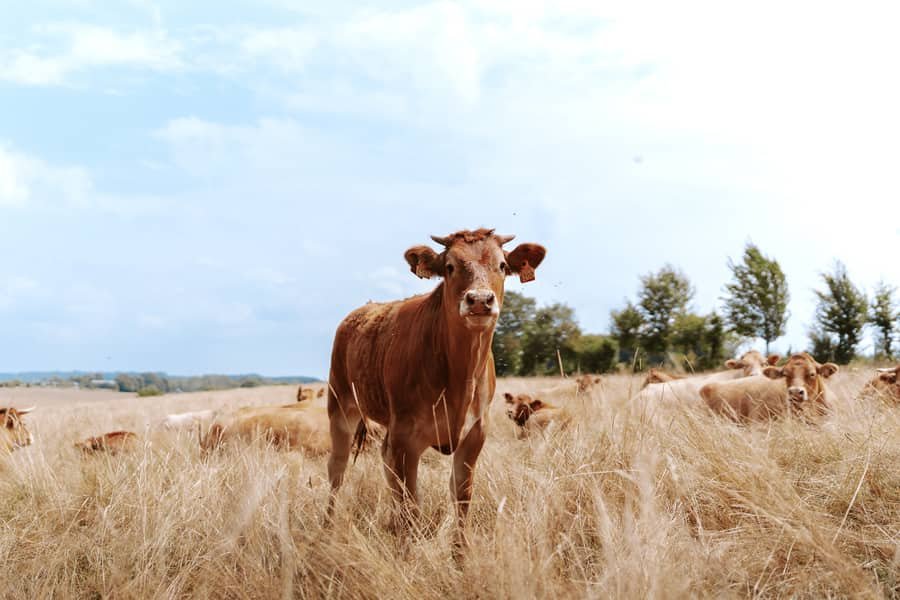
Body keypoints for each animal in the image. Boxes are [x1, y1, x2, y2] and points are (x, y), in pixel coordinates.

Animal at [325, 228, 545, 550]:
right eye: (450, 267)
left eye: (503, 265)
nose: (480, 300)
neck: (458, 375)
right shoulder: (406, 438)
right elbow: (411, 505)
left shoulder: (474, 434)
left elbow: (461, 496)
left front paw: (460, 553)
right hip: (340, 407)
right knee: (337, 470)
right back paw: (326, 526)